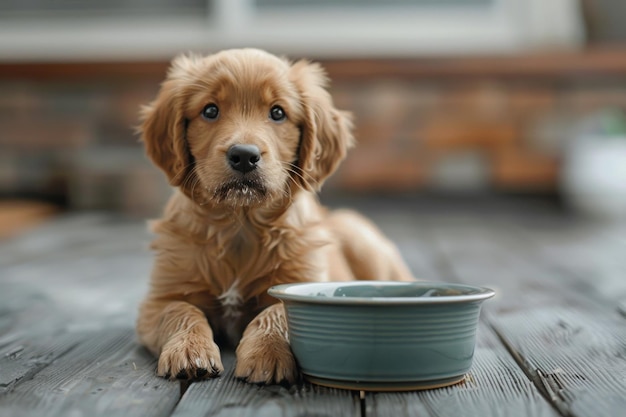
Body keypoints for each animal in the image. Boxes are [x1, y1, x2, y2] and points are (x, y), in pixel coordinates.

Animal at [134, 48, 412, 384]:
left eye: (278, 113)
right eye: (210, 110)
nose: (243, 155)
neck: (240, 223)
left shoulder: (301, 280)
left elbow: (276, 311)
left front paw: (266, 355)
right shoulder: (159, 299)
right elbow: (181, 312)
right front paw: (189, 351)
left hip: (362, 240)